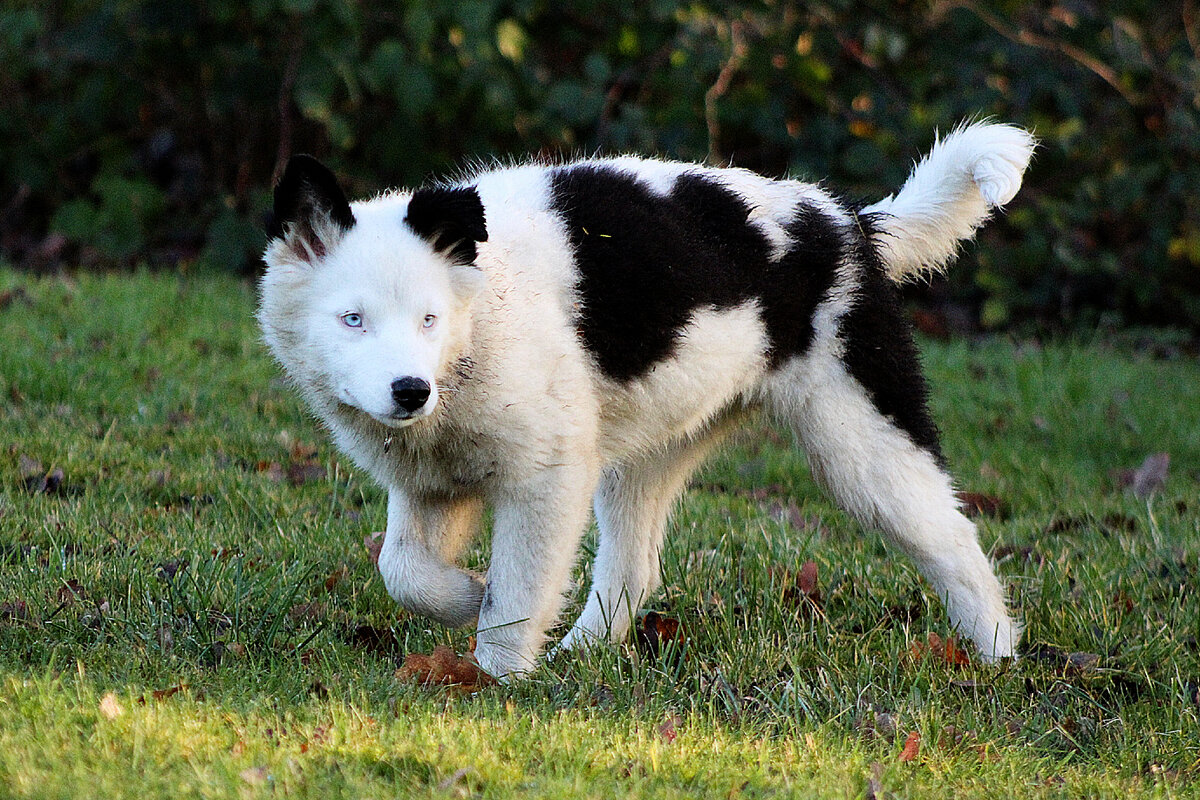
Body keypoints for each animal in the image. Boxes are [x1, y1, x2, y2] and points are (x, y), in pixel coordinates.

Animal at [260, 120, 1032, 681]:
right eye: (352, 320)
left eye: (429, 319)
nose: (410, 391)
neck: (474, 330)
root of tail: (852, 228)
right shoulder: (434, 482)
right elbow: (402, 571)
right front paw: (468, 600)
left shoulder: (547, 474)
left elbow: (517, 587)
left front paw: (495, 679)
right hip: (651, 444)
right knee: (633, 568)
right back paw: (580, 654)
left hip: (860, 434)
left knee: (951, 536)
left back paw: (995, 657)